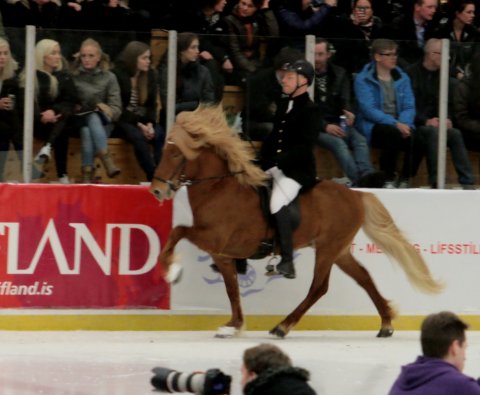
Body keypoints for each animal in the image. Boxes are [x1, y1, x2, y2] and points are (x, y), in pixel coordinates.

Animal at [150, 106, 442, 340]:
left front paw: (170, 269)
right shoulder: (223, 253)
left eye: (175, 154)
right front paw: (234, 325)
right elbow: (232, 289)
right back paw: (386, 324)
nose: (157, 191)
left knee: (319, 287)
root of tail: (356, 194)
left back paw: (282, 326)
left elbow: (178, 231)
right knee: (364, 277)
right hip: (339, 250)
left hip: (327, 249)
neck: (219, 188)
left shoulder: (215, 240)